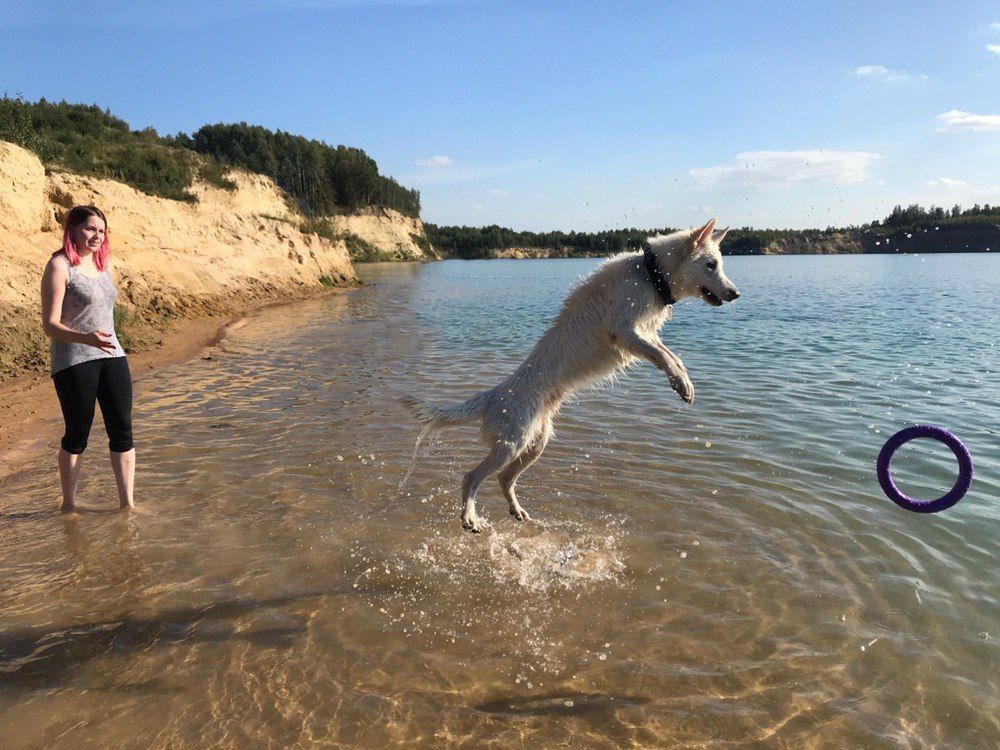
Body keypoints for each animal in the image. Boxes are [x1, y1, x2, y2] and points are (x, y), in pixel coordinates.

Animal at [406, 219, 744, 536]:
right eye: (711, 265)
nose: (736, 293)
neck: (650, 274)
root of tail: (491, 396)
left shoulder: (644, 334)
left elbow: (673, 357)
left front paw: (685, 383)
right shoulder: (625, 332)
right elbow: (663, 357)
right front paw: (680, 384)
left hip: (536, 442)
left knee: (504, 479)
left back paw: (516, 511)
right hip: (511, 444)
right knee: (471, 478)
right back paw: (469, 518)